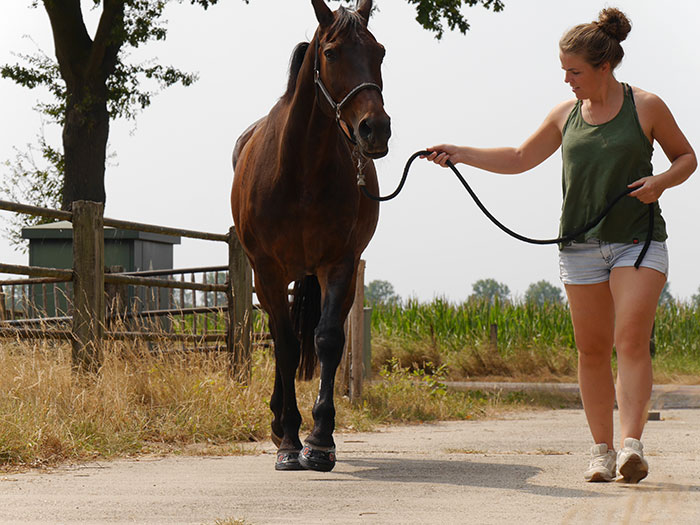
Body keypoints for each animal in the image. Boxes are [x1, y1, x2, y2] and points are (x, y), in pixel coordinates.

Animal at [232, 0, 392, 470]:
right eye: (332, 52)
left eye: (379, 52)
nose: (375, 129)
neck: (300, 168)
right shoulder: (267, 271)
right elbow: (284, 344)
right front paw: (288, 438)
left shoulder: (339, 264)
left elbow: (327, 339)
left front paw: (320, 440)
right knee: (279, 334)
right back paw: (277, 423)